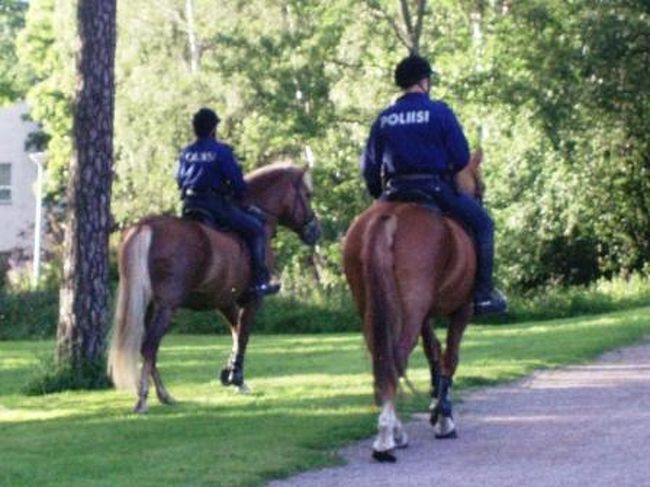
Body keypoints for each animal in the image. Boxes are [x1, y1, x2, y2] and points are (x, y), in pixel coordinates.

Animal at [107, 163, 320, 413]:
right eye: (307, 194)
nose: (315, 231)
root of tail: (146, 226)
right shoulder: (252, 299)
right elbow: (243, 335)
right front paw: (235, 376)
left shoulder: (224, 301)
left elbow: (236, 333)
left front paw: (232, 375)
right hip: (166, 307)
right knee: (150, 346)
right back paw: (143, 399)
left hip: (149, 305)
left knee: (148, 348)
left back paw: (164, 395)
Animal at [342, 150, 485, 462]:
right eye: (482, 187)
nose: (480, 198)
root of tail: (389, 217)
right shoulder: (462, 310)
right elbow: (449, 358)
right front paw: (443, 418)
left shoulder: (425, 316)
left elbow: (434, 353)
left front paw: (438, 409)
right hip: (411, 309)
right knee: (397, 357)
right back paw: (386, 438)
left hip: (373, 307)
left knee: (383, 358)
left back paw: (392, 431)